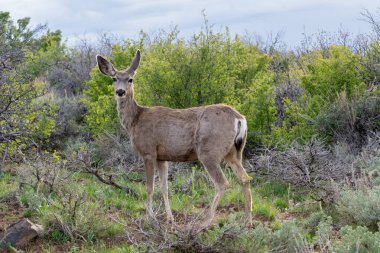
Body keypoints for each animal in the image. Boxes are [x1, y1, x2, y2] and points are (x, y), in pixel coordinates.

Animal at [96, 50, 254, 224]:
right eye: (114, 78)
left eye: (130, 79)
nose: (120, 92)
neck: (135, 120)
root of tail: (239, 118)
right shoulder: (162, 157)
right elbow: (164, 187)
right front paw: (169, 218)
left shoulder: (148, 151)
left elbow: (149, 187)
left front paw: (150, 217)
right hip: (235, 151)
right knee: (245, 178)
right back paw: (246, 220)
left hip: (209, 150)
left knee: (223, 183)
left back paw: (205, 222)